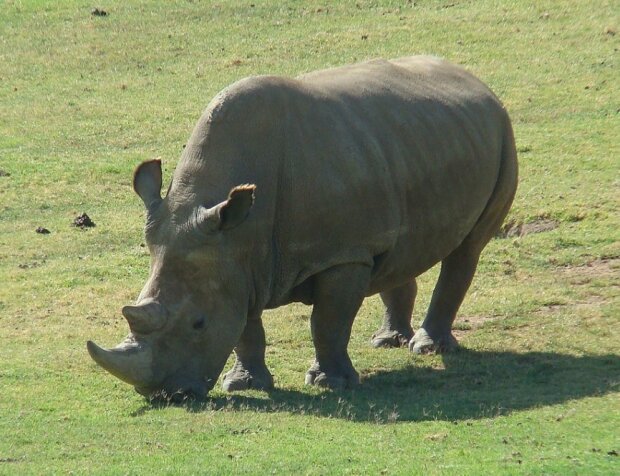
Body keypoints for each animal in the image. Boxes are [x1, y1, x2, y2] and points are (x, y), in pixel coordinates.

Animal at [85, 54, 516, 398]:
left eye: (198, 323)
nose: (165, 394)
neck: (238, 233)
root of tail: (476, 81)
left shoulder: (341, 256)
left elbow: (327, 322)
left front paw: (331, 384)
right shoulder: (235, 259)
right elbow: (246, 327)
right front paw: (243, 384)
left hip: (503, 134)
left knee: (467, 250)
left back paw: (429, 349)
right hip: (410, 144)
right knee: (395, 252)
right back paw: (387, 342)